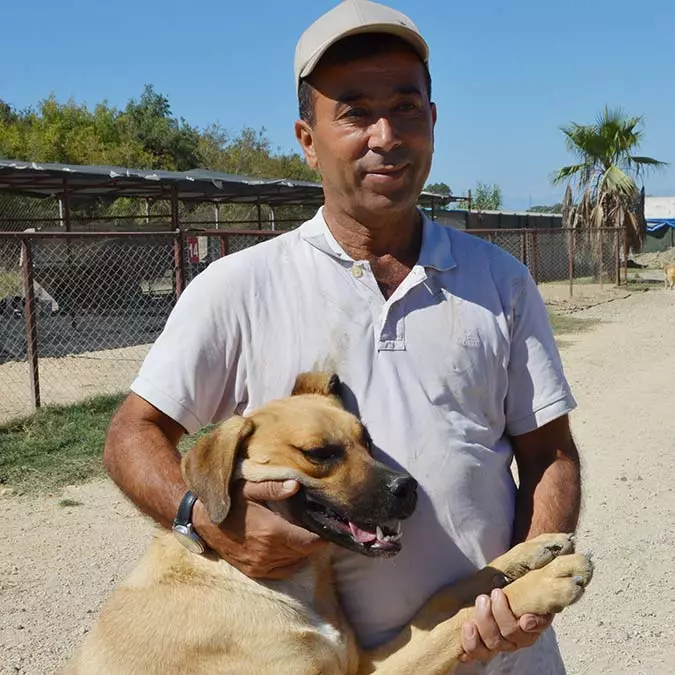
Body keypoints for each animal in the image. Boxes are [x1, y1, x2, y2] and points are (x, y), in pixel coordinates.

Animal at [63, 372, 592, 672]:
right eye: (319, 454)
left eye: (367, 440)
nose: (410, 489)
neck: (264, 579)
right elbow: (450, 626)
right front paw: (546, 581)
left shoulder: (360, 662)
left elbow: (448, 598)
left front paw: (533, 555)